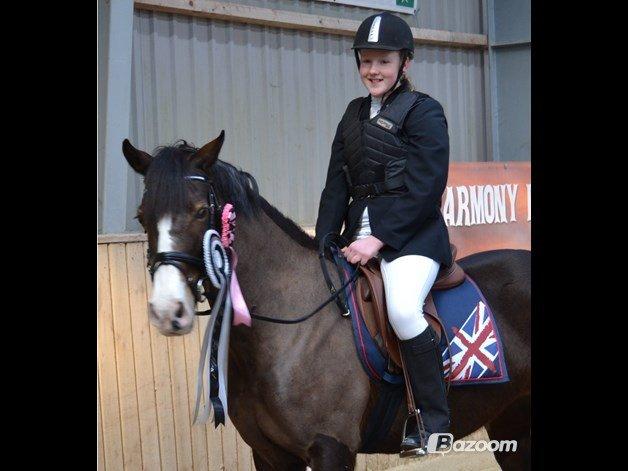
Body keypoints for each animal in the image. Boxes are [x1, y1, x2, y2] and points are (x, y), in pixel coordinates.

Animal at [121, 133, 528, 471]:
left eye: (201, 212)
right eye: (142, 217)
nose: (167, 311)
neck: (287, 331)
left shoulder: (331, 448)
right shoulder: (269, 455)